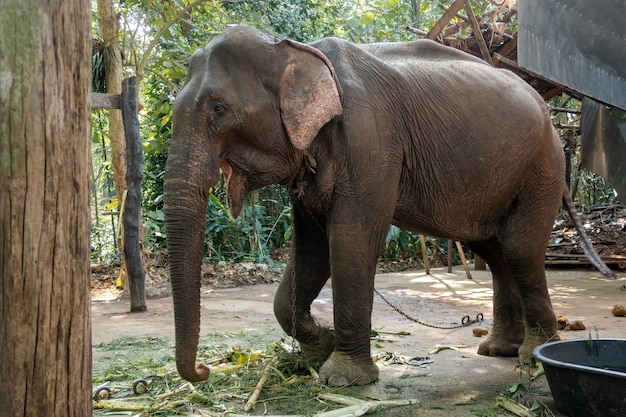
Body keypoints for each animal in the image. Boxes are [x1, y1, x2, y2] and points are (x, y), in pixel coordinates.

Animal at [161, 25, 608, 384]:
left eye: (218, 109)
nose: (203, 370)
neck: (293, 50)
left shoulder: (370, 140)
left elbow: (350, 239)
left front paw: (341, 378)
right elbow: (310, 251)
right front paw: (318, 350)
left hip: (543, 165)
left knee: (518, 247)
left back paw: (532, 357)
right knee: (494, 251)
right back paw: (498, 350)